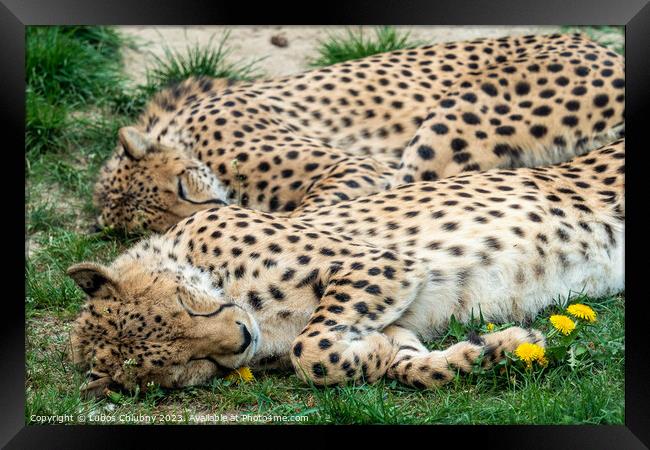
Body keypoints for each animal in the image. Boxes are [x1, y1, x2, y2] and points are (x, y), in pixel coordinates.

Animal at [68, 139, 620, 392]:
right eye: (189, 364)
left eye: (187, 306)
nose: (242, 338)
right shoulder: (394, 318)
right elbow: (399, 364)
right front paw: (496, 348)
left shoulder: (378, 260)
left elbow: (307, 348)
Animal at [93, 32, 620, 232]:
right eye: (158, 223)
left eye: (182, 186)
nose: (210, 213)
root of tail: (603, 47)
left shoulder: (359, 166)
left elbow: (313, 211)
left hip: (459, 116)